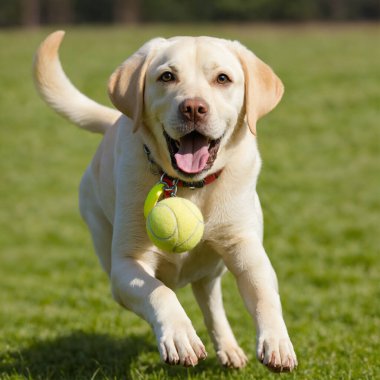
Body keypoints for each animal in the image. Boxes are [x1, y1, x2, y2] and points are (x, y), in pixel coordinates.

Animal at [33, 30, 296, 372]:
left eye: (223, 78)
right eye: (167, 76)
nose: (194, 108)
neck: (188, 186)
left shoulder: (247, 250)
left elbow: (265, 294)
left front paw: (276, 342)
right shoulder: (125, 268)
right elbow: (158, 293)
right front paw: (180, 336)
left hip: (212, 266)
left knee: (210, 301)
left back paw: (229, 349)